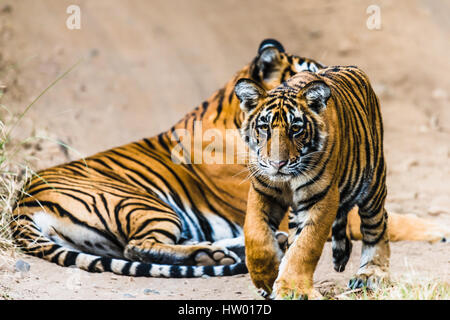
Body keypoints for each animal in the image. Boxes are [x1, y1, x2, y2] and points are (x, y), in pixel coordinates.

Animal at [10, 40, 446, 288]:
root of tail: (20, 205)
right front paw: (439, 229)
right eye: (310, 73)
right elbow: (390, 219)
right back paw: (208, 256)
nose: (332, 89)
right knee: (140, 246)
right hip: (143, 204)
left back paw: (238, 251)